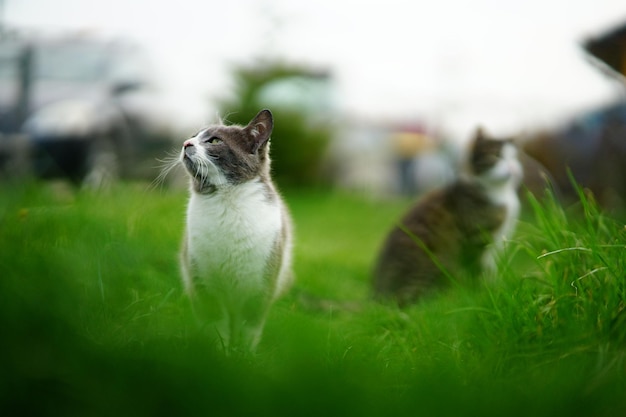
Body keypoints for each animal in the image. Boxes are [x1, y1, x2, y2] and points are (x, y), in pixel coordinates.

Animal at [177, 108, 292, 352]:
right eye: (193, 136)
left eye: (214, 141)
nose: (185, 143)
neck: (226, 202)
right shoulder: (202, 279)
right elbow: (215, 322)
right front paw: (219, 352)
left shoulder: (261, 283)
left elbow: (249, 326)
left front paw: (243, 354)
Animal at [370, 128, 520, 308]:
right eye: (496, 156)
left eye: (515, 158)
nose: (513, 167)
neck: (501, 193)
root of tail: (378, 296)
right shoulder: (475, 236)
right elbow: (477, 268)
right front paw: (483, 290)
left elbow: (489, 268)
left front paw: (493, 286)